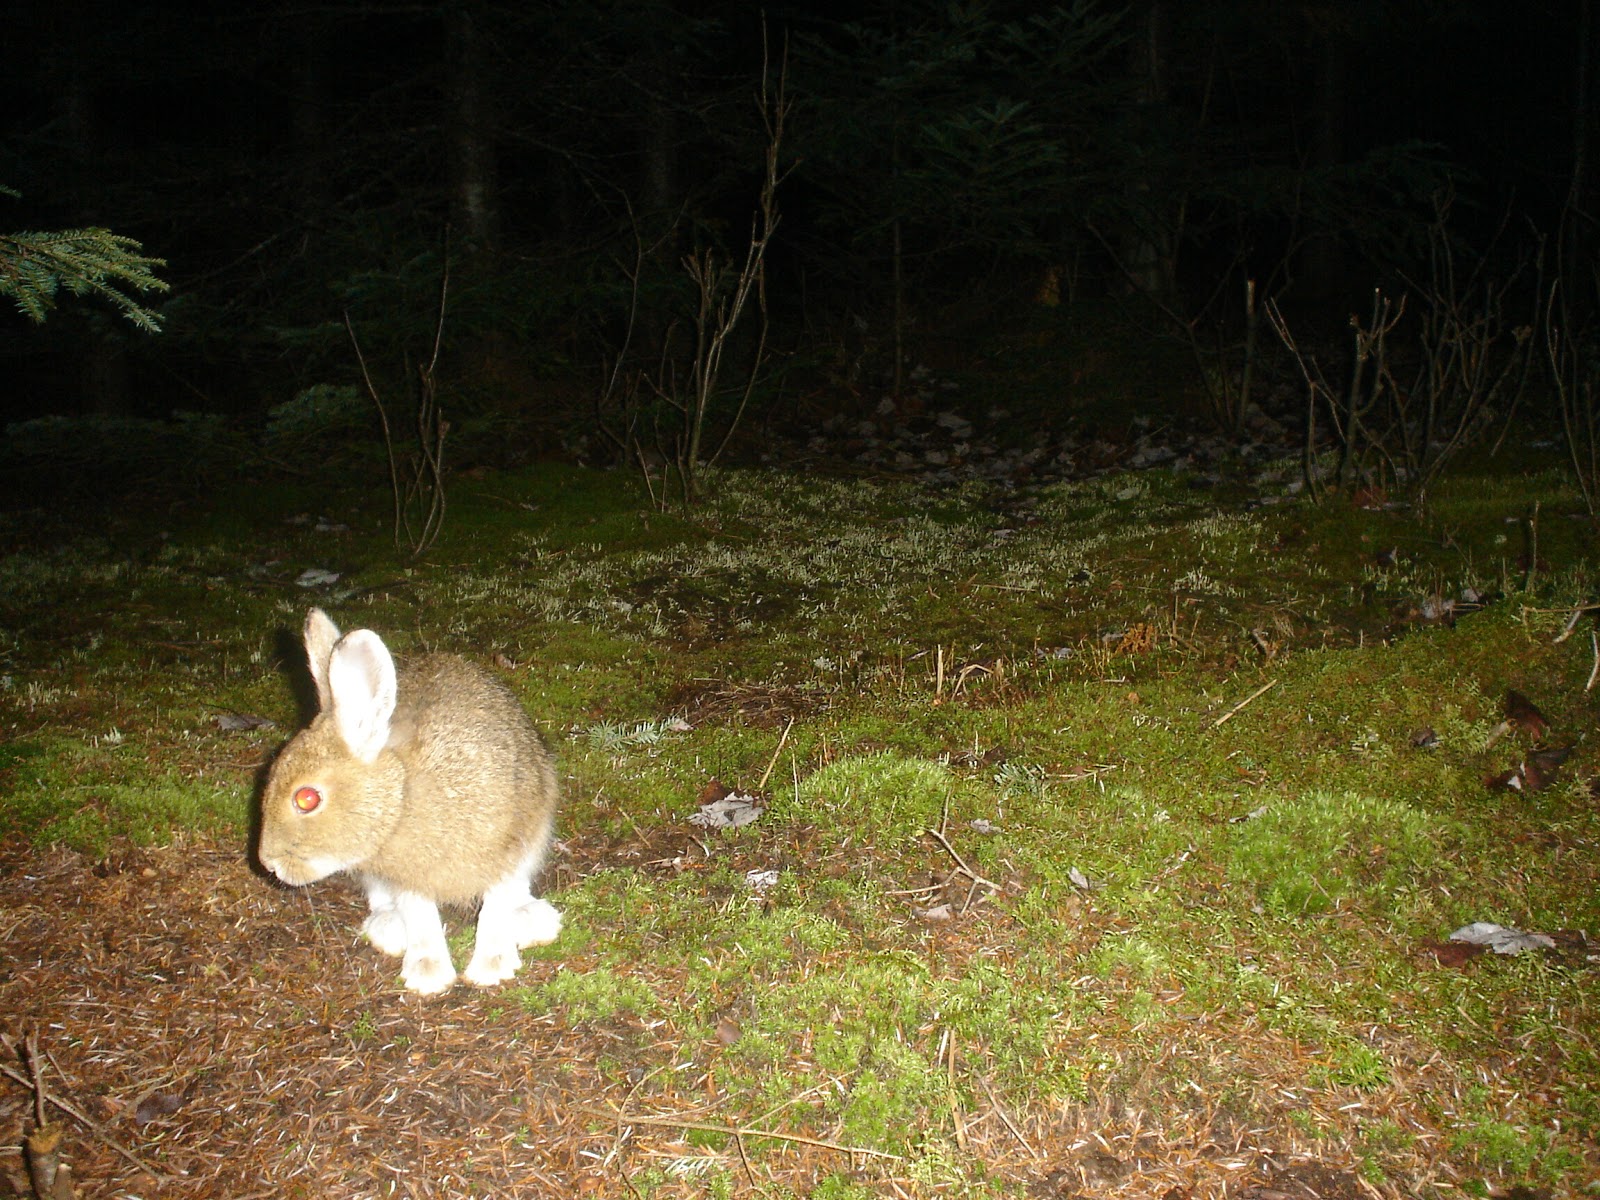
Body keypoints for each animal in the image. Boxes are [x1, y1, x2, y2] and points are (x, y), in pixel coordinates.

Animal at [258, 607, 562, 994]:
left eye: (307, 798)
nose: (268, 863)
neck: (401, 800)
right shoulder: (405, 875)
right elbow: (420, 915)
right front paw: (428, 975)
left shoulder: (512, 839)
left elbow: (496, 902)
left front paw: (492, 967)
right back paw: (388, 929)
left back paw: (532, 919)